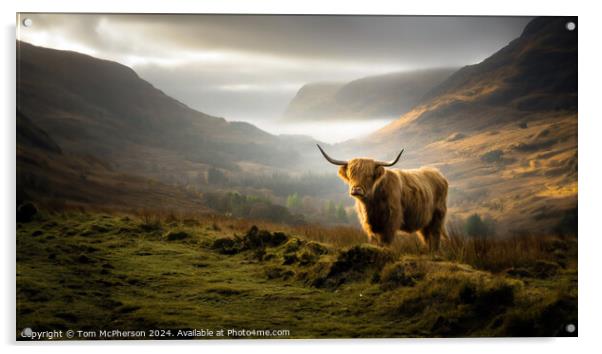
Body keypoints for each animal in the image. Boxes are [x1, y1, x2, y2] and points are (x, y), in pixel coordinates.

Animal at [316, 145, 448, 252]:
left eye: (369, 175)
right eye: (351, 174)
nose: (356, 190)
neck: (371, 204)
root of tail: (438, 174)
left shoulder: (391, 221)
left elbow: (385, 241)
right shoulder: (370, 225)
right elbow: (376, 241)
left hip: (437, 217)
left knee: (435, 236)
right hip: (424, 221)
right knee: (427, 237)